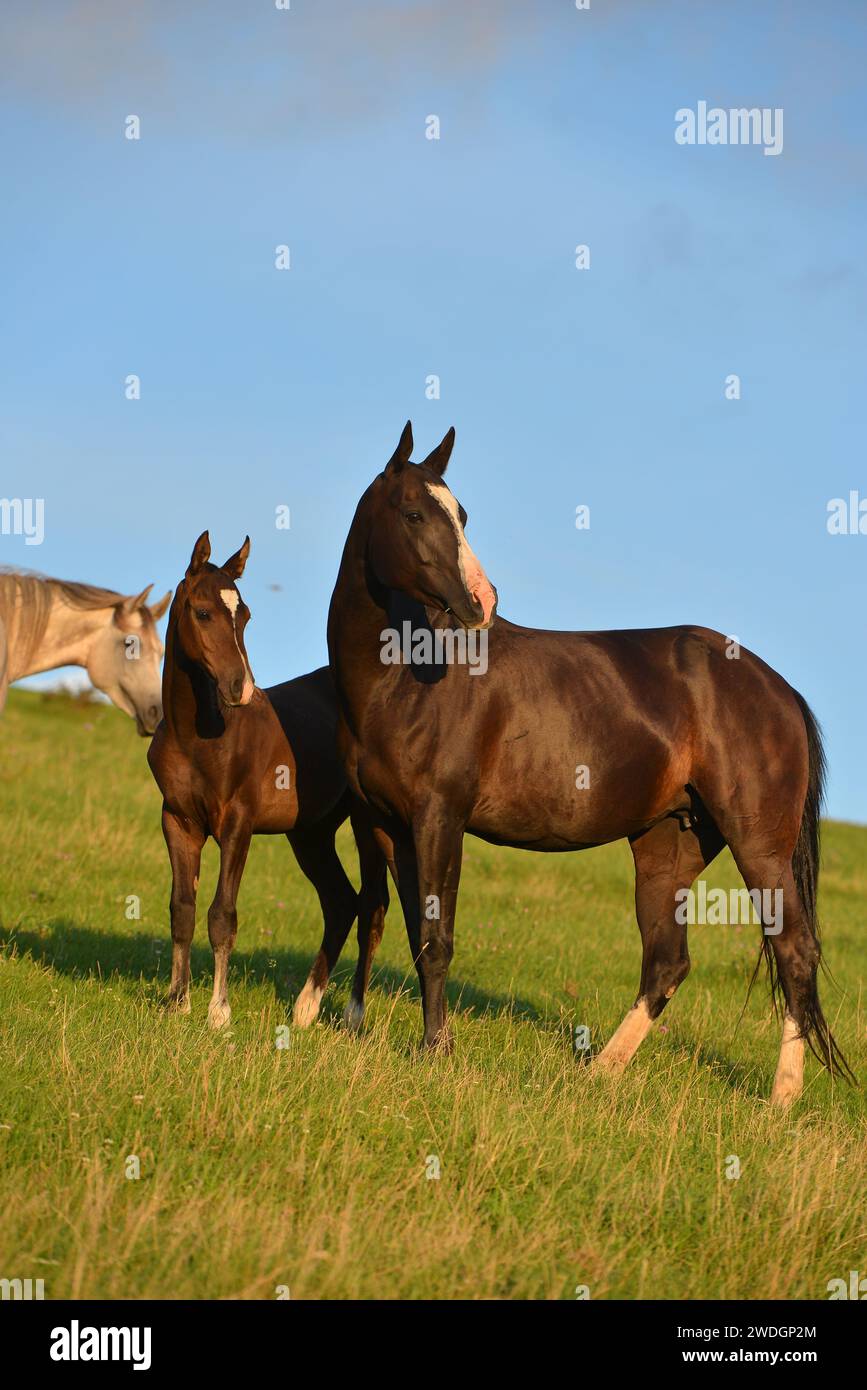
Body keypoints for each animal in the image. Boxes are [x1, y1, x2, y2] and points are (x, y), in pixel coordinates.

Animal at [147, 531, 388, 1030]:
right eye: (203, 612)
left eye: (246, 615)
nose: (240, 689)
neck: (196, 736)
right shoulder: (177, 821)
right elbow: (182, 909)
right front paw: (177, 1001)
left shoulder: (237, 824)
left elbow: (222, 915)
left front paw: (219, 1012)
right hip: (311, 833)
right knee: (340, 902)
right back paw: (305, 1008)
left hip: (369, 824)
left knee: (371, 908)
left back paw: (353, 1015)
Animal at [326, 421, 854, 1107]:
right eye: (415, 513)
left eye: (461, 515)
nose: (481, 601)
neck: (401, 679)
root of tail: (779, 689)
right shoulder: (387, 826)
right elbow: (415, 933)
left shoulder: (440, 818)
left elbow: (438, 941)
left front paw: (436, 1052)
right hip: (668, 843)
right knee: (668, 961)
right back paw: (601, 1071)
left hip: (759, 846)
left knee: (793, 950)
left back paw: (782, 1096)